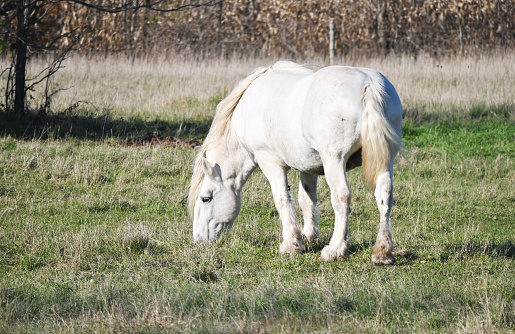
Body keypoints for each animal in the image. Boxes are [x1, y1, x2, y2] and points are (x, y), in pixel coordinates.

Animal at [188, 61, 404, 264]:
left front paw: (292, 245)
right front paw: (309, 236)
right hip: (385, 161)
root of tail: (368, 84)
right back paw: (383, 252)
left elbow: (282, 198)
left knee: (342, 197)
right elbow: (306, 199)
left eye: (205, 198)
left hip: (334, 161)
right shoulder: (309, 165)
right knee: (384, 195)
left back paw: (335, 250)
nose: (198, 238)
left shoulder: (269, 161)